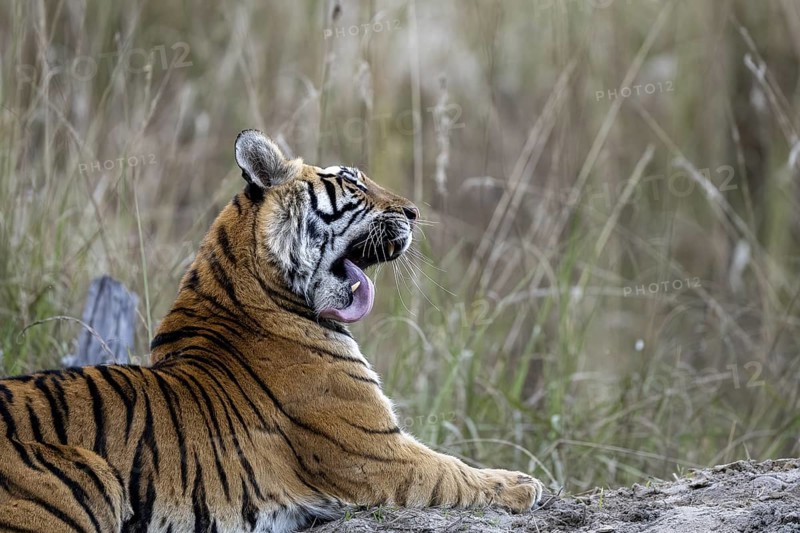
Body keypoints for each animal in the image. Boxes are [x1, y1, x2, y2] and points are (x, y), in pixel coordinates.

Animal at [0, 129, 544, 532]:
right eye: (354, 184)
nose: (414, 212)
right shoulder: (377, 452)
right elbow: (453, 471)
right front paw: (524, 483)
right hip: (87, 475)